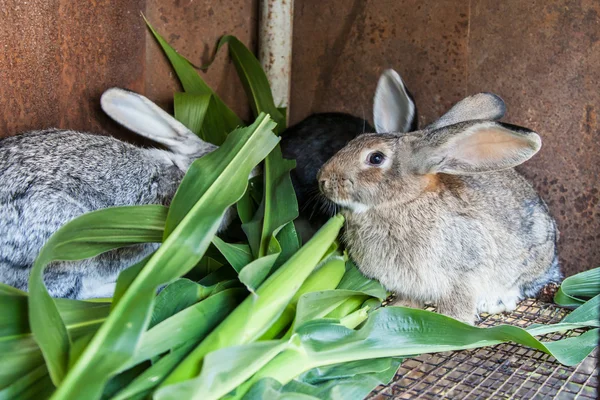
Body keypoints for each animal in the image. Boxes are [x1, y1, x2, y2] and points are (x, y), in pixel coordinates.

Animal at [322, 69, 560, 324]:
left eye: (376, 158)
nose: (322, 180)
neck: (404, 201)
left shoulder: (463, 275)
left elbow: (458, 305)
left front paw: (453, 324)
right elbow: (409, 299)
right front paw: (399, 308)